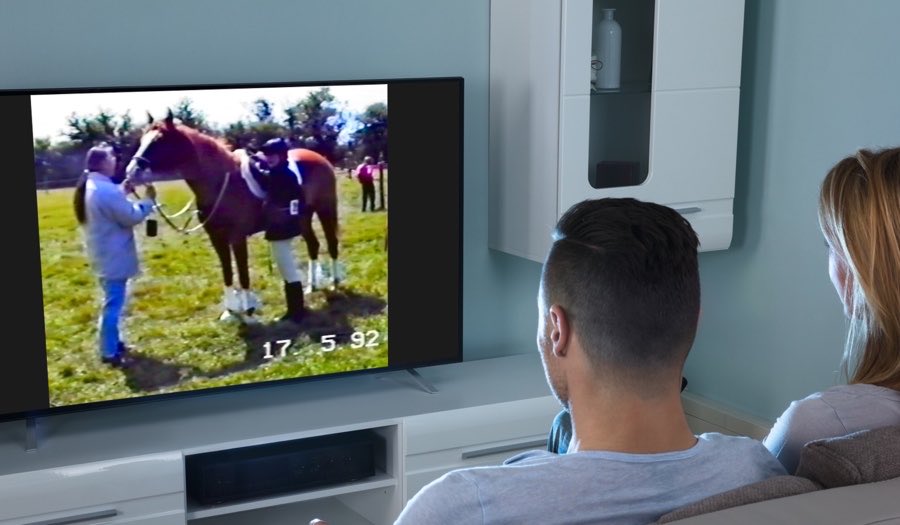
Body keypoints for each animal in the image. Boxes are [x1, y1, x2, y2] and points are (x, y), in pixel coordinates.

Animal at [121, 112, 340, 320]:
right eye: (142, 140)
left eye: (160, 141)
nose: (131, 172)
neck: (222, 183)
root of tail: (318, 157)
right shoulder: (217, 238)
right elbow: (227, 271)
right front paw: (230, 311)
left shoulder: (237, 237)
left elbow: (242, 273)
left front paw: (249, 309)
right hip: (303, 217)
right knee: (313, 245)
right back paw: (312, 286)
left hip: (325, 209)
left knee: (331, 243)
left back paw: (335, 282)